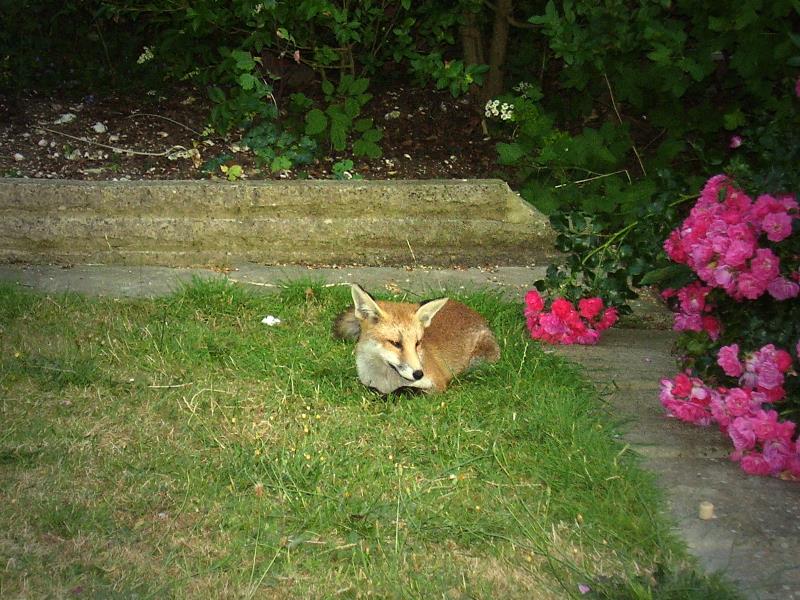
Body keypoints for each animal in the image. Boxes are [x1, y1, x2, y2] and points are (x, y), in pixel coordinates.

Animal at [332, 284, 500, 396]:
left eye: (417, 343)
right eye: (395, 343)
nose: (419, 374)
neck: (386, 381)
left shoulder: (438, 384)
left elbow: (405, 390)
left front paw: (387, 396)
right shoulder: (365, 382)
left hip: (479, 362)